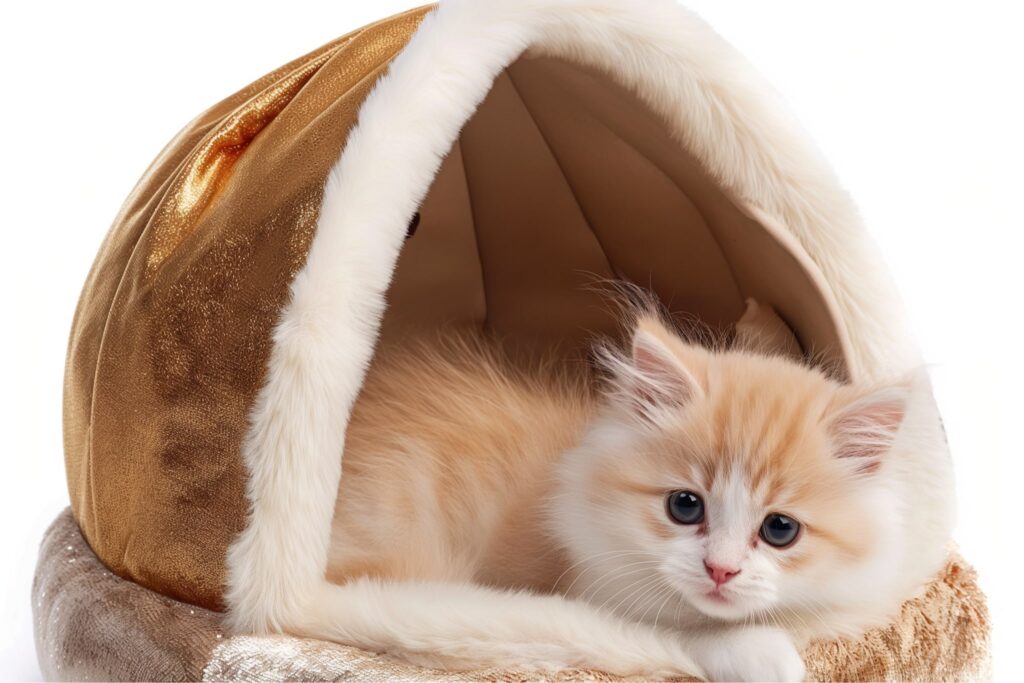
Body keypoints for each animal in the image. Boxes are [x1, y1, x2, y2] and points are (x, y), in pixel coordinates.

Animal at [313, 311, 950, 683]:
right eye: (685, 506)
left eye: (780, 529)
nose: (721, 570)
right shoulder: (587, 598)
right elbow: (674, 637)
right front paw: (766, 656)